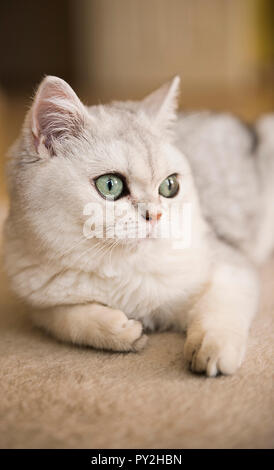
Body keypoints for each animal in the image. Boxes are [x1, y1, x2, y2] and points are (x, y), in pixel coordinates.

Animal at [2, 75, 274, 376]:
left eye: (170, 186)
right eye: (110, 185)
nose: (155, 215)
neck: (119, 266)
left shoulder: (232, 269)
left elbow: (219, 310)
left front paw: (210, 349)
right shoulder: (39, 304)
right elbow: (68, 319)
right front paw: (121, 330)